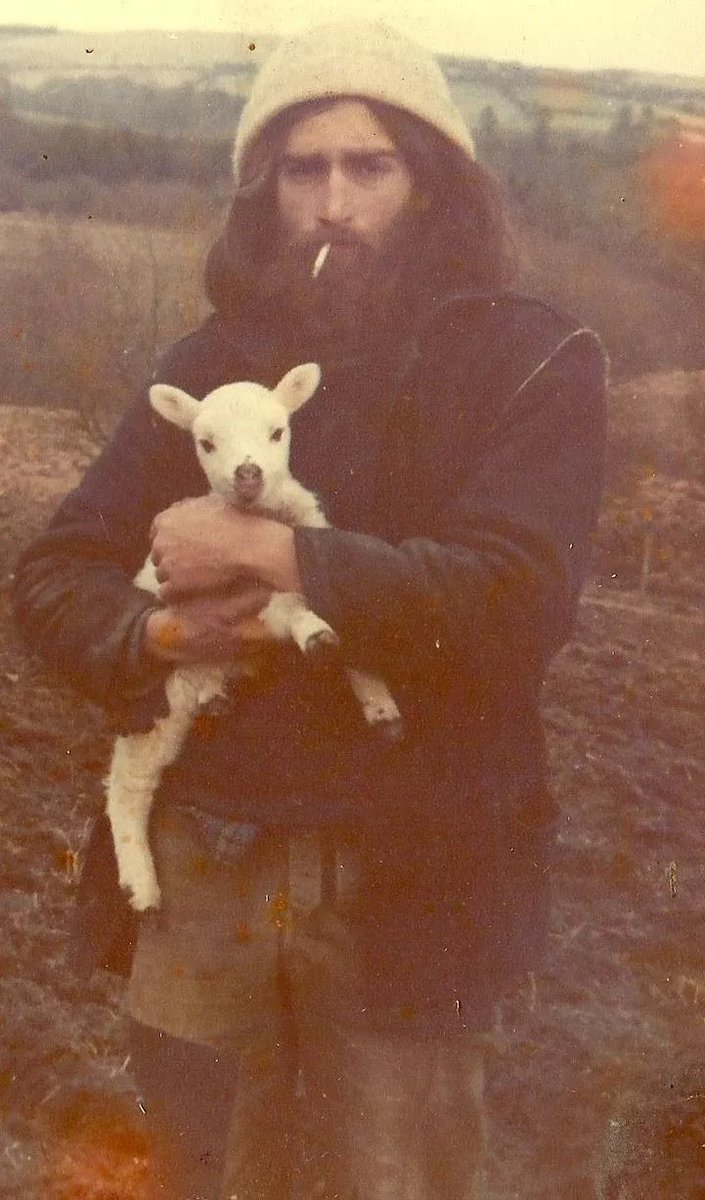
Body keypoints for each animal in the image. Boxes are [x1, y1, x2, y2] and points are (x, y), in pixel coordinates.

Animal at [106, 362, 403, 912]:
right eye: (205, 443)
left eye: (277, 431)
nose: (248, 475)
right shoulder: (246, 598)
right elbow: (292, 610)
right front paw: (315, 636)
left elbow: (352, 631)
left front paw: (381, 706)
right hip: (159, 703)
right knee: (128, 783)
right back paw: (141, 886)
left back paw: (216, 695)